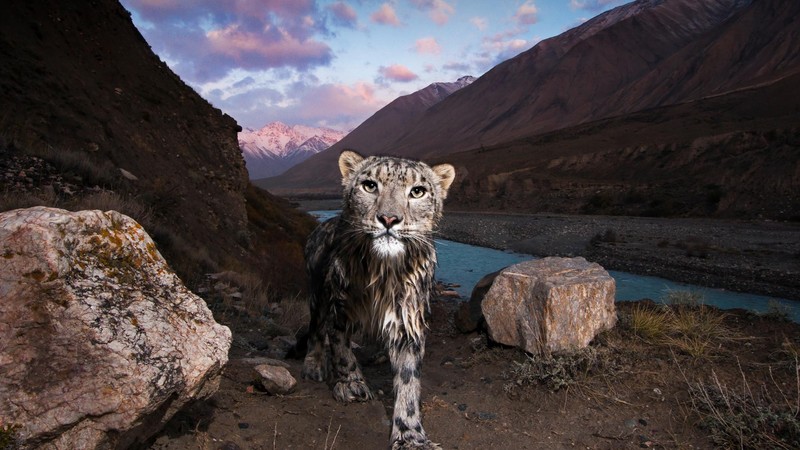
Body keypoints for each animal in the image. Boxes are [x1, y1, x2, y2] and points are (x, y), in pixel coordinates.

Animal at [302, 150, 455, 449]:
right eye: (370, 185)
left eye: (417, 191)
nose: (389, 219)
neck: (383, 274)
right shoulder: (339, 307)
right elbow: (341, 349)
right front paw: (351, 384)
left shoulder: (408, 320)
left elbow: (408, 379)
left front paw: (410, 435)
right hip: (318, 294)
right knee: (316, 329)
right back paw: (313, 365)